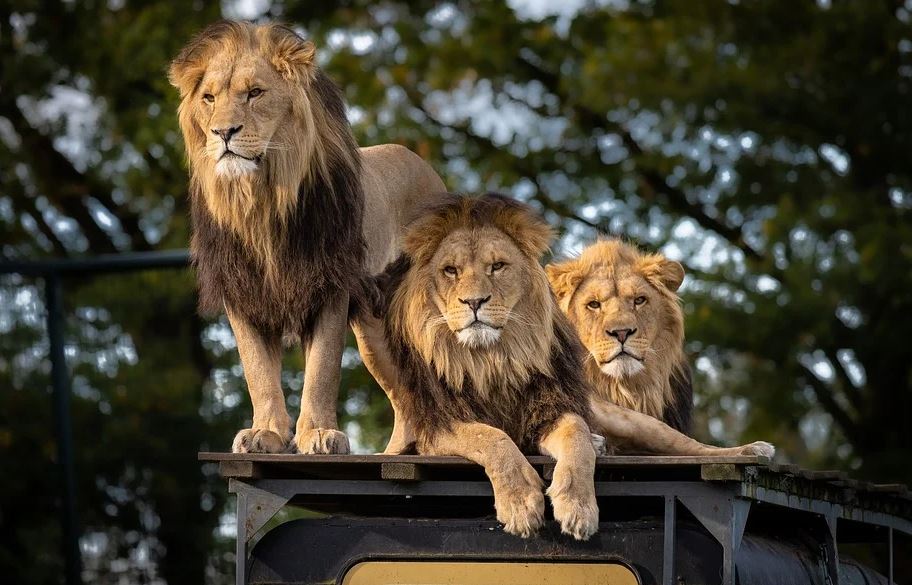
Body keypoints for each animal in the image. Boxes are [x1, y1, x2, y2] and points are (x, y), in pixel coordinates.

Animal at [168, 21, 445, 454]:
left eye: (255, 92)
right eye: (209, 98)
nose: (223, 132)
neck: (261, 202)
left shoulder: (330, 284)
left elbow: (321, 369)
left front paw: (318, 433)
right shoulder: (242, 291)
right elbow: (257, 371)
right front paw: (266, 433)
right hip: (374, 332)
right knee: (405, 398)